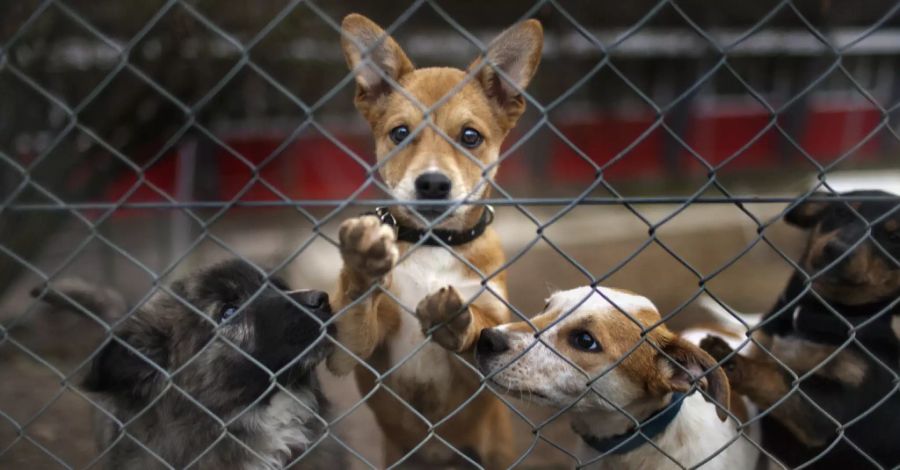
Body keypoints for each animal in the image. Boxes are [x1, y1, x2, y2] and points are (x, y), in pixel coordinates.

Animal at [328, 12, 544, 468]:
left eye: (470, 137)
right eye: (400, 133)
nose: (431, 184)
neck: (433, 244)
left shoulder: (482, 367)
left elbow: (477, 326)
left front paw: (452, 316)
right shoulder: (352, 349)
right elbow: (356, 305)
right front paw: (363, 263)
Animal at [704, 189, 900, 468]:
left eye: (894, 237)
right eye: (841, 212)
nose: (837, 250)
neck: (821, 312)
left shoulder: (833, 408)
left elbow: (777, 377)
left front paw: (729, 360)